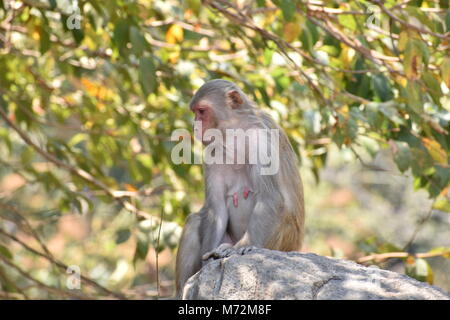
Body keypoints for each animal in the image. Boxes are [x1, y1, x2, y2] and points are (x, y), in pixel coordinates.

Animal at [174, 79, 304, 298]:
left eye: (201, 111)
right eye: (194, 112)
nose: (194, 125)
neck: (235, 132)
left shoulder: (261, 141)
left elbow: (270, 198)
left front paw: (239, 249)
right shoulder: (213, 151)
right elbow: (216, 209)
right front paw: (204, 269)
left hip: (284, 242)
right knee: (194, 221)